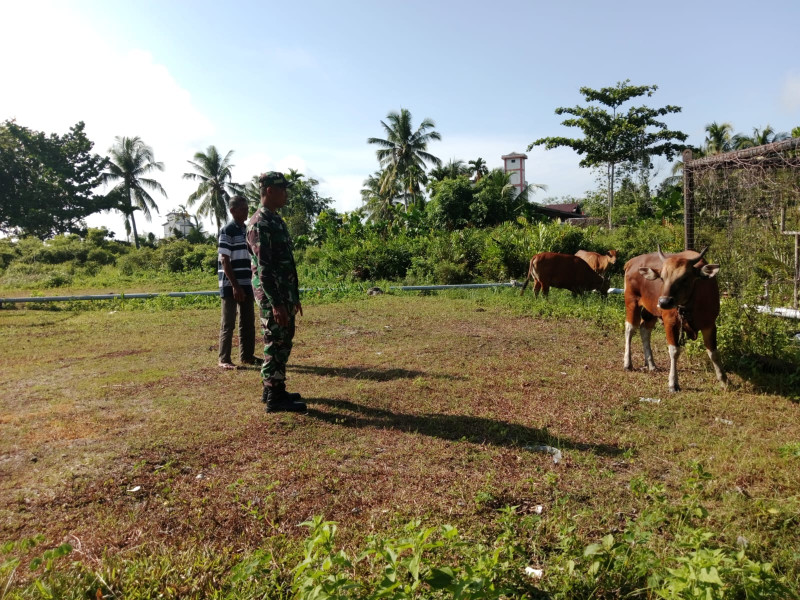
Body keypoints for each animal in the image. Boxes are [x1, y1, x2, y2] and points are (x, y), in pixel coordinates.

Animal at [620, 245, 728, 394]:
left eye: (685, 278)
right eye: (662, 278)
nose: (664, 302)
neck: (690, 305)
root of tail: (631, 262)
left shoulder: (710, 324)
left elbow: (714, 353)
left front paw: (724, 380)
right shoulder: (670, 323)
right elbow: (674, 351)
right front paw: (673, 383)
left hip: (651, 310)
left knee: (644, 330)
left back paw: (651, 364)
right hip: (631, 302)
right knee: (630, 329)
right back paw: (627, 363)